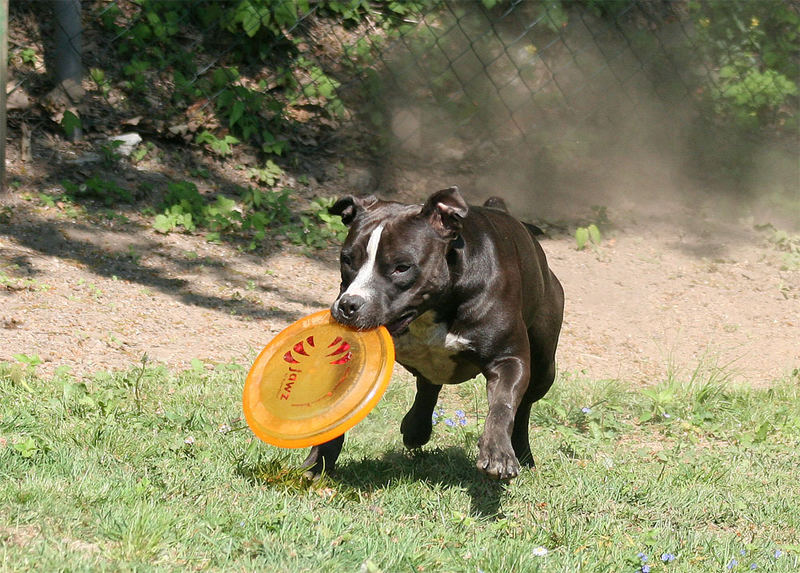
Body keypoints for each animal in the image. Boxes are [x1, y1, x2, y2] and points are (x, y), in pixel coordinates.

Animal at [300, 187, 564, 478]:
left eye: (402, 267)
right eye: (346, 259)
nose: (349, 305)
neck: (432, 309)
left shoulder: (508, 360)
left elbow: (502, 405)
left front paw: (497, 452)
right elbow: (337, 413)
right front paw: (319, 461)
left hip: (543, 366)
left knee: (524, 405)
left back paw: (522, 453)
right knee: (429, 385)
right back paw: (415, 429)